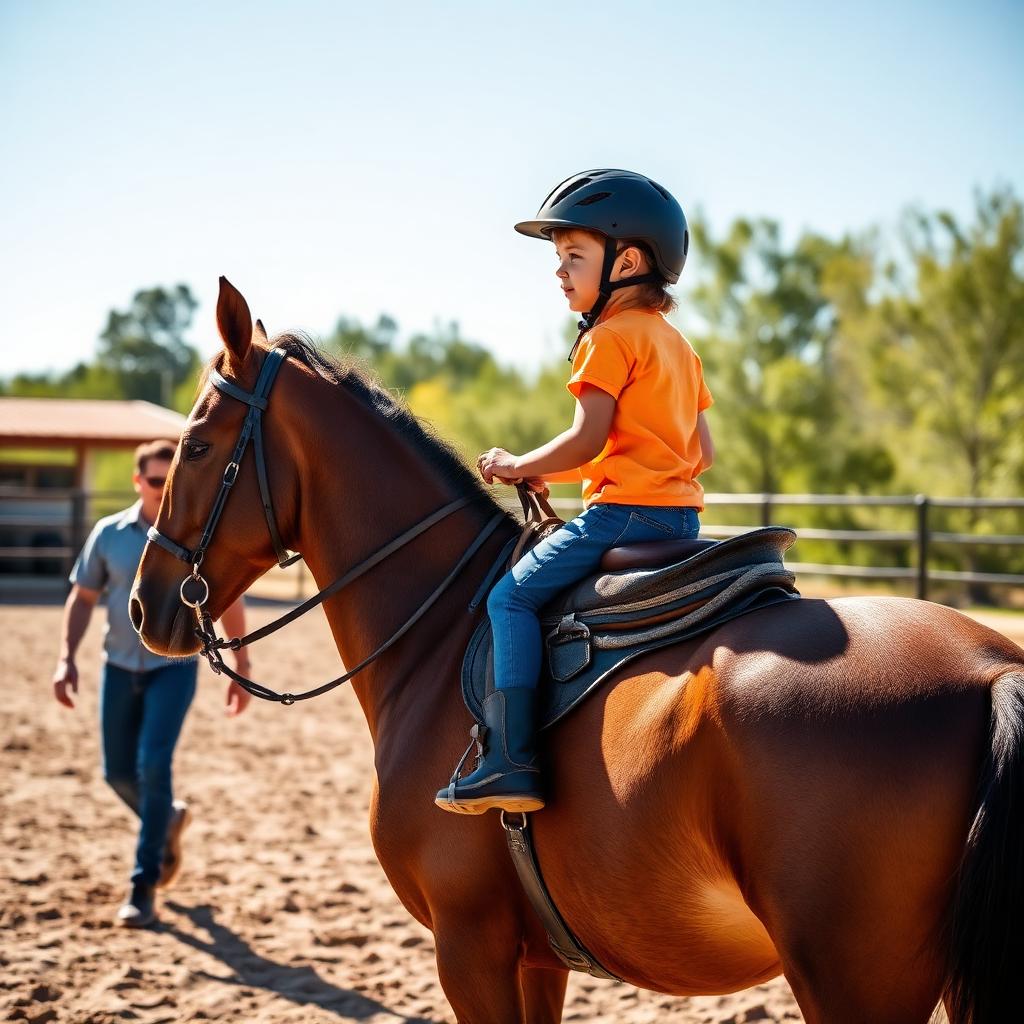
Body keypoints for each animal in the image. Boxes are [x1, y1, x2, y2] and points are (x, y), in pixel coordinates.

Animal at [130, 278, 1023, 1024]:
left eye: (197, 447)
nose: (143, 603)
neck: (439, 633)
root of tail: (992, 670)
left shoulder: (470, 947)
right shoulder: (536, 959)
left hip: (849, 979)